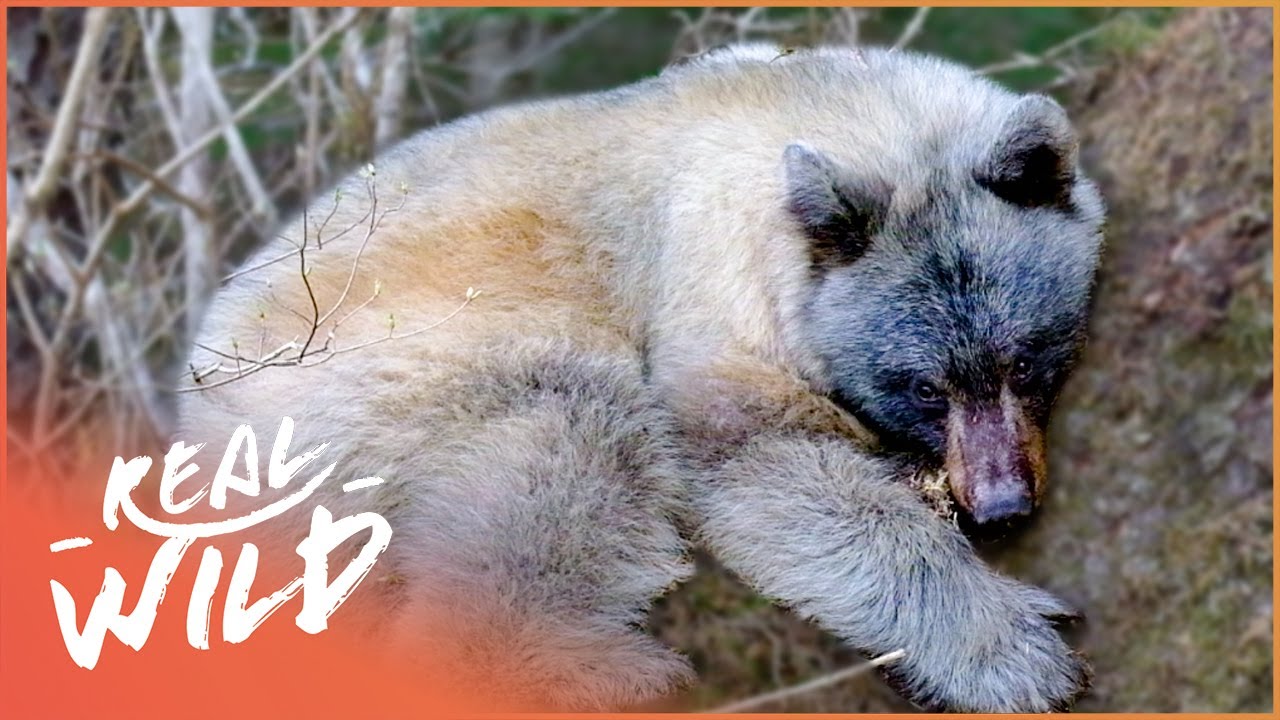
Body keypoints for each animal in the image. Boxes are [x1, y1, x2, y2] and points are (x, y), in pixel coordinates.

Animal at [178, 43, 1105, 712]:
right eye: (922, 386)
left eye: (1025, 357)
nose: (1001, 506)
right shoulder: (711, 278)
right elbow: (754, 457)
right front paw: (1012, 648)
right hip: (373, 381)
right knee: (569, 443)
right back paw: (589, 666)